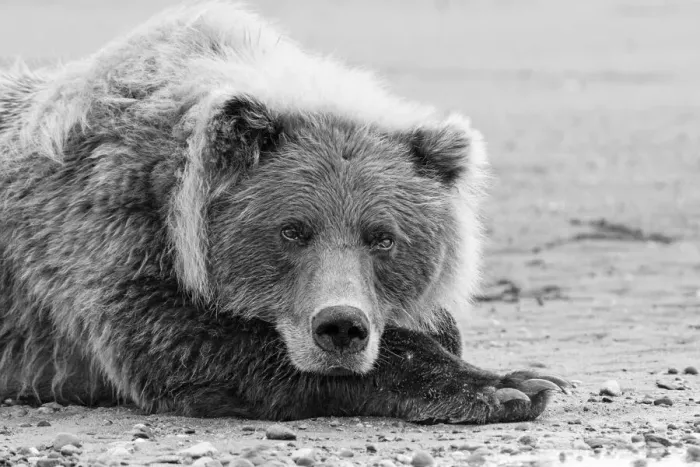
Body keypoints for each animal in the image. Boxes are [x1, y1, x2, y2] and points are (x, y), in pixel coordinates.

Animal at [0, 1, 570, 423]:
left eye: (383, 237)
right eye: (292, 230)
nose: (341, 327)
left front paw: (523, 377)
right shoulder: (107, 233)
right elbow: (181, 344)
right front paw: (508, 388)